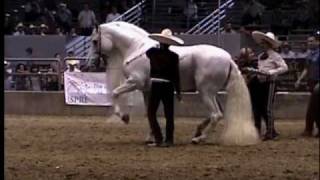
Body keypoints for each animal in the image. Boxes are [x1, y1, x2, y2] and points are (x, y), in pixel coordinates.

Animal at [88, 21, 260, 146]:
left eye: (94, 41)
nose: (91, 63)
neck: (137, 48)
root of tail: (229, 59)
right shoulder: (147, 90)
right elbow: (149, 113)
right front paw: (151, 137)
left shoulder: (134, 82)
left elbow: (115, 93)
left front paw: (124, 117)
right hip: (212, 93)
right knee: (217, 114)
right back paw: (198, 131)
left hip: (206, 92)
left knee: (216, 115)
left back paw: (199, 139)